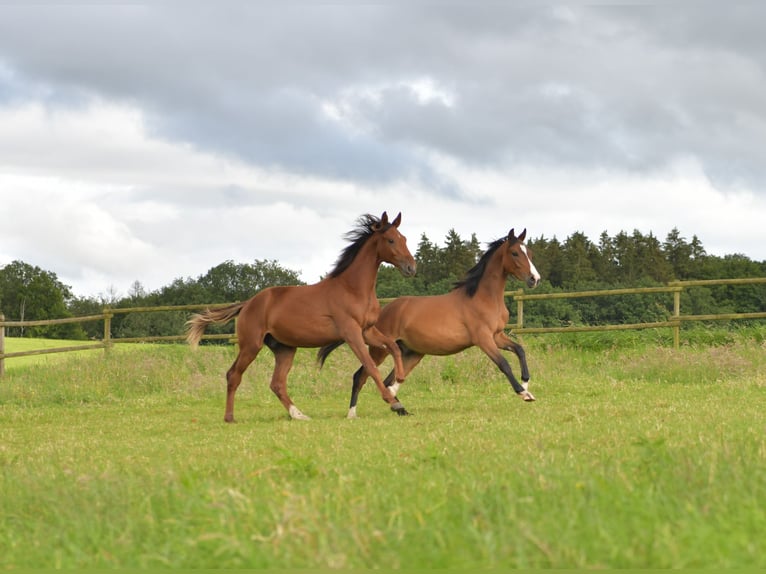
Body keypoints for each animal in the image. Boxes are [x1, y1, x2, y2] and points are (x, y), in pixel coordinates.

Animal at [187, 213, 416, 424]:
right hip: (251, 345)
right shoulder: (351, 333)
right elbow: (370, 365)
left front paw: (399, 380)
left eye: (404, 238)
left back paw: (298, 414)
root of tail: (248, 304)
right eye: (391, 240)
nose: (411, 268)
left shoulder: (367, 331)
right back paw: (230, 417)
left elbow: (393, 347)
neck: (353, 289)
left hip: (284, 349)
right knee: (233, 374)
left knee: (277, 383)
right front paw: (393, 401)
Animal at [318, 227, 540, 420]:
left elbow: (520, 350)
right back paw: (353, 413)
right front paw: (524, 394)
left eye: (529, 252)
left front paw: (526, 384)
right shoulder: (483, 339)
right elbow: (504, 364)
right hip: (379, 349)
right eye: (514, 253)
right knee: (361, 376)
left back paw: (399, 408)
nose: (534, 279)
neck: (483, 298)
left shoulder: (497, 335)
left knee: (391, 379)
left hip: (410, 353)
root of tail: (380, 313)